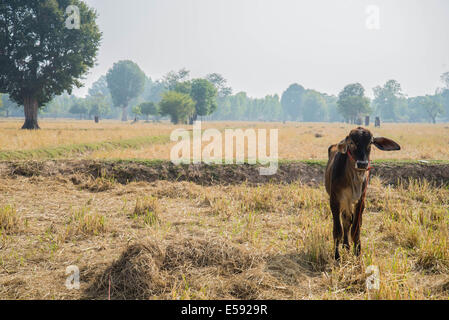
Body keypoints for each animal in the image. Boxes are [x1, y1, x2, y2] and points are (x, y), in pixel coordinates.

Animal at [326, 126, 400, 258]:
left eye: (370, 142)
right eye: (351, 143)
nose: (362, 164)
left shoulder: (360, 202)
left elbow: (355, 229)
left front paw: (357, 253)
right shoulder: (335, 201)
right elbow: (337, 230)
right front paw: (336, 256)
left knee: (348, 221)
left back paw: (347, 245)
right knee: (345, 221)